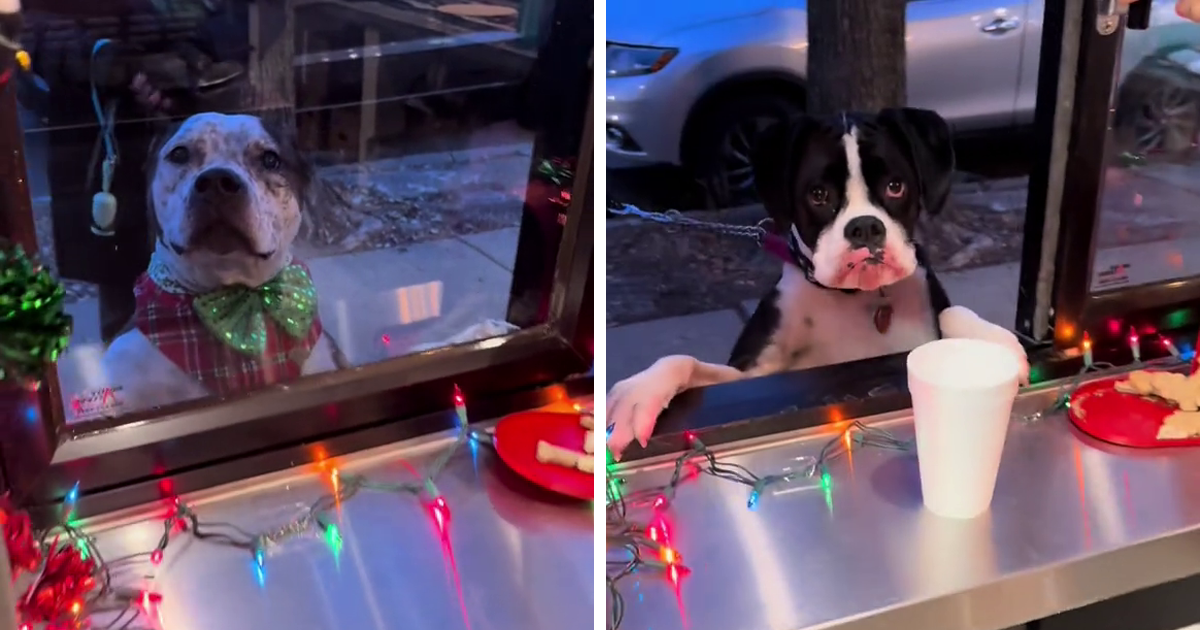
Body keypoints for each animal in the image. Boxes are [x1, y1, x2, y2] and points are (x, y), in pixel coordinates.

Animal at [609, 106, 1032, 451]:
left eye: (895, 187)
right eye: (818, 195)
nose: (865, 227)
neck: (856, 298)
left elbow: (953, 312)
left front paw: (993, 343)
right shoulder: (752, 374)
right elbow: (683, 361)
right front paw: (640, 392)